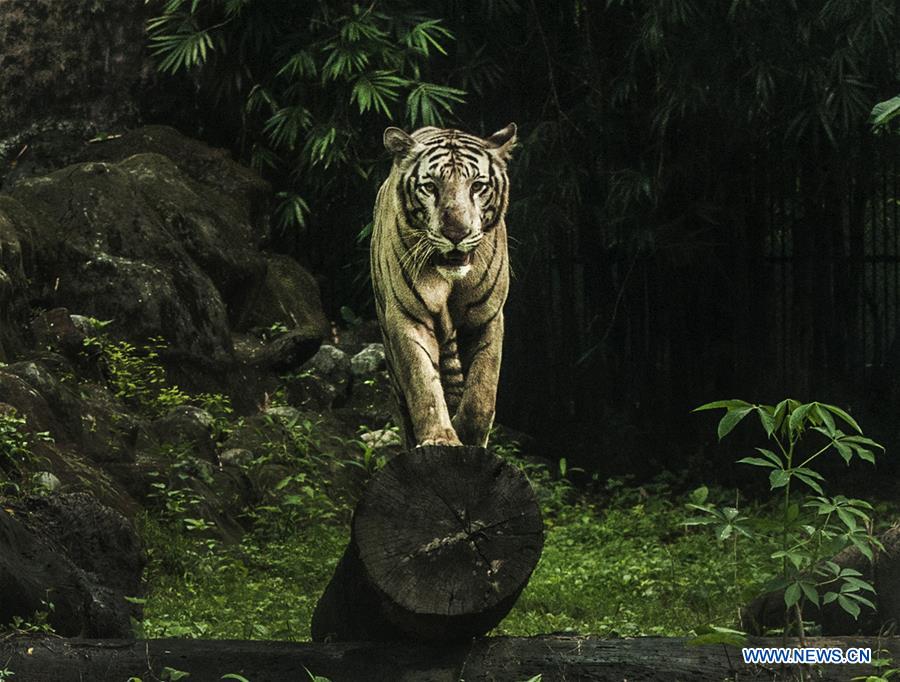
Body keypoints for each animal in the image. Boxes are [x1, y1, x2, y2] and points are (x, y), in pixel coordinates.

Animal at [370, 123, 517, 450]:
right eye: (430, 187)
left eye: (477, 186)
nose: (456, 233)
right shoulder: (408, 318)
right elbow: (424, 384)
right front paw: (440, 437)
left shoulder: (487, 319)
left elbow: (481, 393)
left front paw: (468, 435)